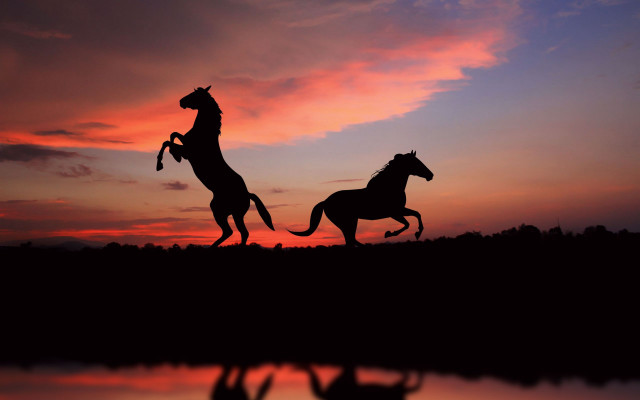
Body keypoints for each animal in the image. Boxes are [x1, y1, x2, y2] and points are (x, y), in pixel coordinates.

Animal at [156, 86, 274, 247]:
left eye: (195, 94)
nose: (181, 101)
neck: (205, 132)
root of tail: (247, 194)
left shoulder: (188, 151)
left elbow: (169, 140)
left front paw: (162, 163)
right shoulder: (186, 147)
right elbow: (172, 135)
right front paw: (173, 157)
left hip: (226, 212)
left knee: (236, 232)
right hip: (227, 212)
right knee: (236, 232)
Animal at [288, 151, 433, 246]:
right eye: (416, 162)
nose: (430, 175)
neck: (389, 186)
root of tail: (325, 201)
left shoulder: (399, 210)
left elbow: (417, 214)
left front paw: (417, 233)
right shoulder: (394, 212)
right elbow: (407, 223)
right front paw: (389, 233)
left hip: (351, 221)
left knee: (350, 240)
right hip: (346, 222)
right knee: (350, 240)